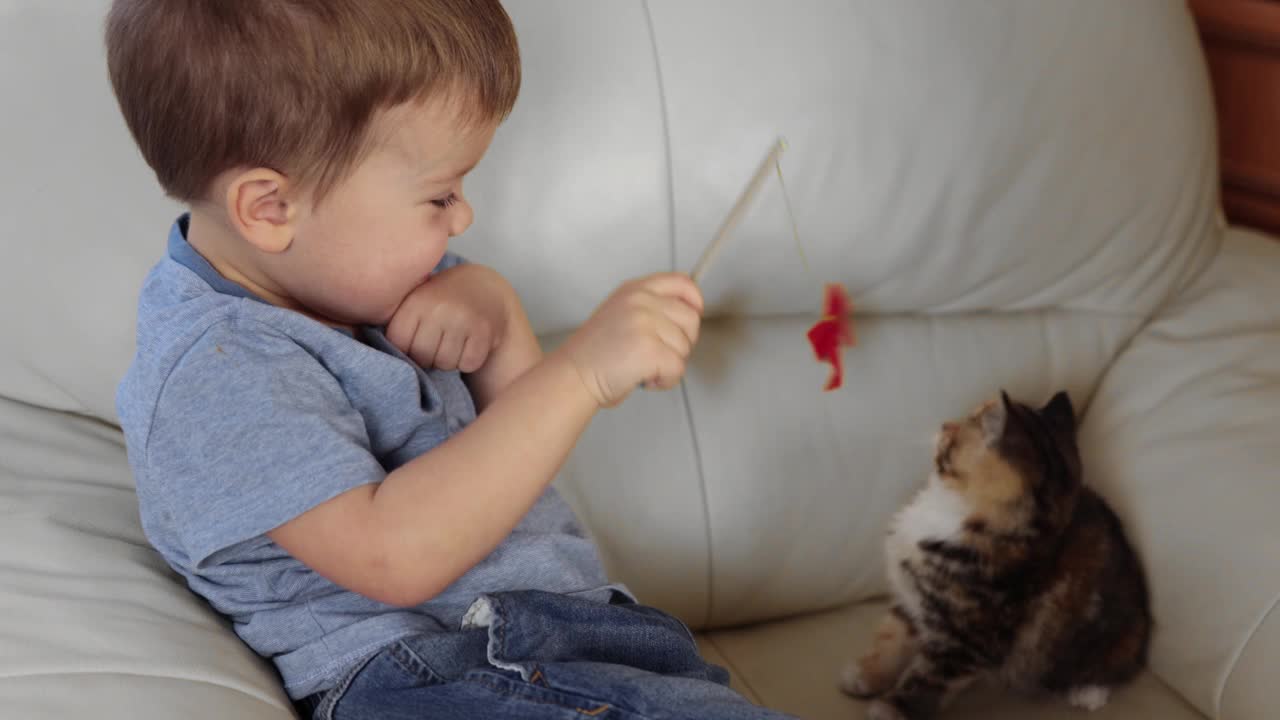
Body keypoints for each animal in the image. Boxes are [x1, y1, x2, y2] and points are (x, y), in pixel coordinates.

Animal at [839, 389, 1152, 712]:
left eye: (958, 431)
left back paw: (1087, 693)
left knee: (1111, 668)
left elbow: (926, 681)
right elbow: (893, 637)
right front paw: (866, 676)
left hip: (1111, 638)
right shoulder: (918, 598)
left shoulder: (965, 639)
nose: (945, 423)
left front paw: (891, 710)